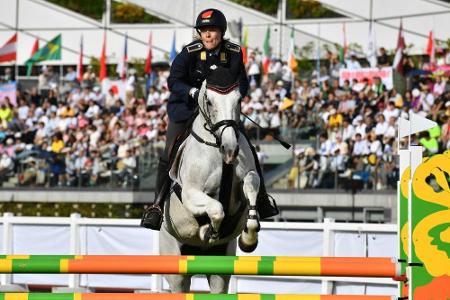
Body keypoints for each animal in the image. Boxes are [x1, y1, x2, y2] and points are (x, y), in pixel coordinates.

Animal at [159, 80, 260, 292]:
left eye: (239, 100)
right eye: (209, 101)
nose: (230, 150)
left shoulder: (247, 179)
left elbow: (251, 185)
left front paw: (248, 239)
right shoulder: (191, 193)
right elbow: (216, 208)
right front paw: (210, 230)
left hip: (220, 269)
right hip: (175, 268)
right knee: (179, 284)